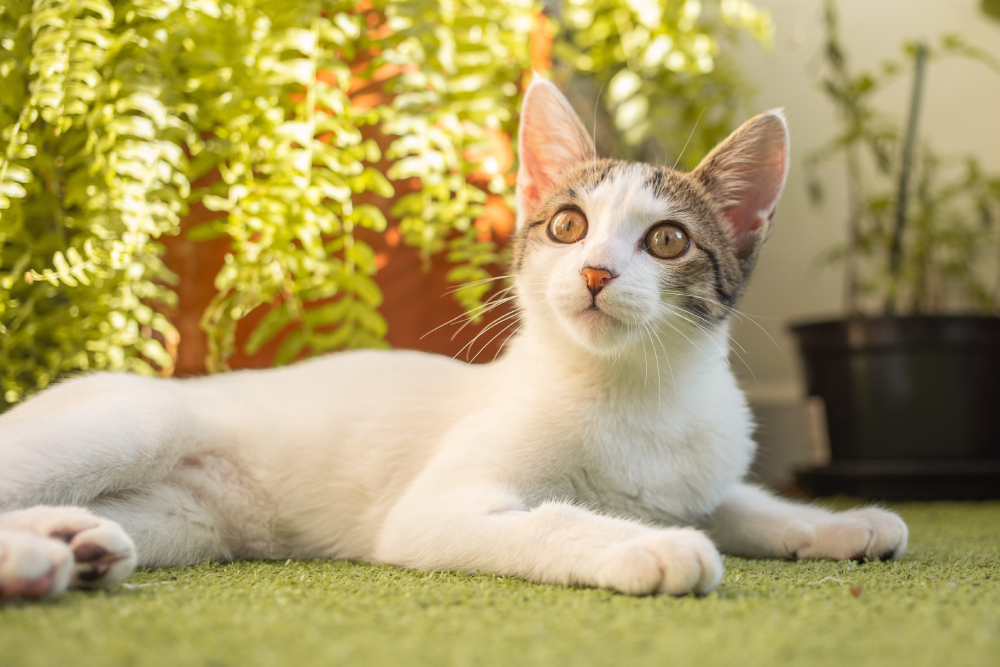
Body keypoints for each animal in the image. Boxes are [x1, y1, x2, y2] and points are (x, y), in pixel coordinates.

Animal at [0, 77, 908, 600]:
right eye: (569, 225)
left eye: (668, 240)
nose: (595, 272)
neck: (633, 390)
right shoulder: (435, 509)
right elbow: (550, 520)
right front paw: (651, 545)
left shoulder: (701, 466)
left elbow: (740, 501)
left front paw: (840, 525)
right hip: (132, 424)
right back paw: (43, 556)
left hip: (188, 520)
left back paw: (72, 543)